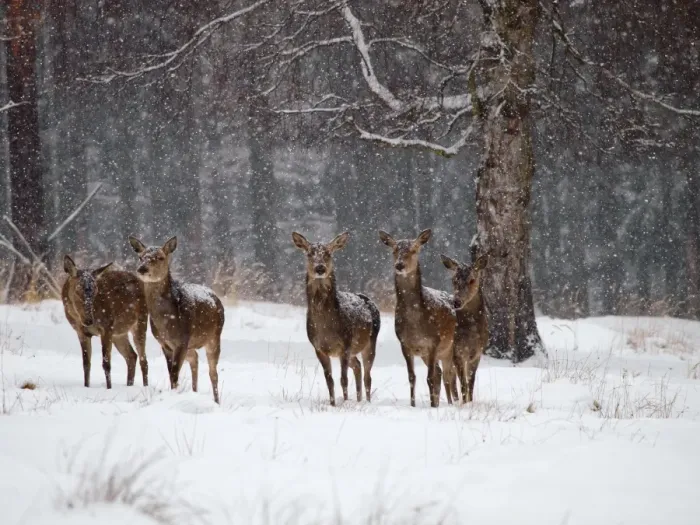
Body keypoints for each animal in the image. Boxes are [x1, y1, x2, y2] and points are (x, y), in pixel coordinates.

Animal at [62, 256, 149, 389]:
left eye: (95, 290)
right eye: (77, 290)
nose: (89, 320)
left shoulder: (106, 327)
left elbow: (106, 364)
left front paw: (109, 388)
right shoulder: (80, 332)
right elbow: (86, 364)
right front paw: (86, 387)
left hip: (141, 321)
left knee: (143, 360)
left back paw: (145, 387)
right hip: (119, 333)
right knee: (132, 356)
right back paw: (129, 385)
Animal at [128, 236, 225, 404]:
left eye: (160, 257)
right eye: (140, 257)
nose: (142, 269)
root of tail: (217, 298)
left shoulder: (182, 340)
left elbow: (174, 373)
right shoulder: (165, 343)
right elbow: (171, 372)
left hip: (214, 336)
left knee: (213, 372)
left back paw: (217, 401)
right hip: (191, 344)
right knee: (195, 359)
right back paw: (194, 392)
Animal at [292, 231, 381, 406]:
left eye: (328, 253)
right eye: (310, 253)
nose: (320, 268)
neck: (326, 327)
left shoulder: (345, 344)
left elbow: (343, 380)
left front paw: (344, 403)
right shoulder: (319, 348)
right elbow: (329, 380)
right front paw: (333, 404)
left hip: (370, 341)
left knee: (368, 376)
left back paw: (366, 402)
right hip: (353, 350)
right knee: (357, 366)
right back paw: (358, 400)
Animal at [378, 229, 457, 407]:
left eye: (414, 250)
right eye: (394, 250)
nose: (399, 265)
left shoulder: (434, 342)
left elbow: (430, 378)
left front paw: (433, 406)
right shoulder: (405, 344)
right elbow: (412, 377)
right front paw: (413, 405)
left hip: (451, 347)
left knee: (449, 376)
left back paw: (451, 403)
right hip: (427, 354)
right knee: (441, 373)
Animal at [441, 252, 488, 403]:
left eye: (472, 280)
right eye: (453, 280)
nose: (457, 302)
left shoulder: (477, 353)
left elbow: (470, 383)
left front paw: (470, 402)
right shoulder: (457, 352)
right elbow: (464, 384)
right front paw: (464, 403)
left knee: (450, 377)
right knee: (446, 377)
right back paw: (452, 402)